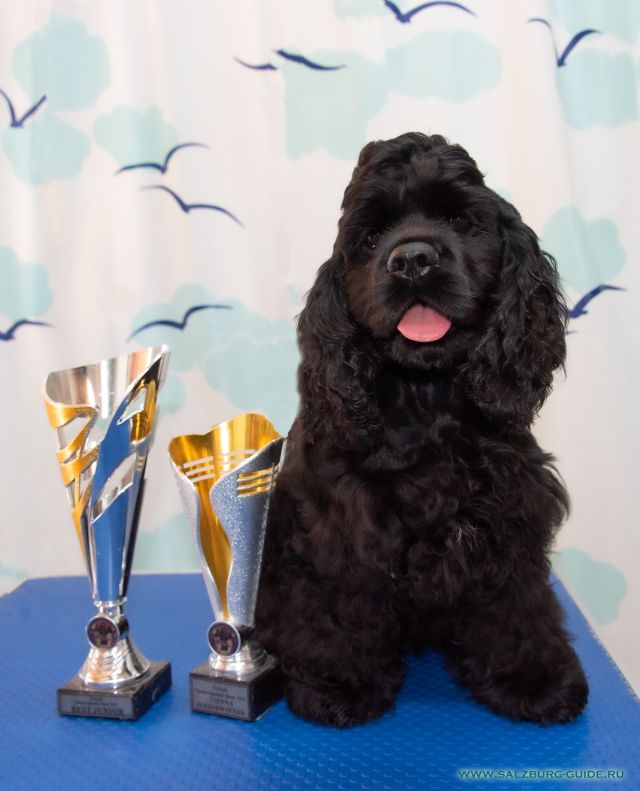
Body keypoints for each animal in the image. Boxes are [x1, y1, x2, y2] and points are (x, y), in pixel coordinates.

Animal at [258, 131, 588, 732]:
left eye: (460, 219)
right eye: (369, 237)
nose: (411, 259)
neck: (426, 395)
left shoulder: (507, 518)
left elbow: (516, 606)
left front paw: (531, 678)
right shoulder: (343, 529)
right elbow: (341, 607)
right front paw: (340, 684)